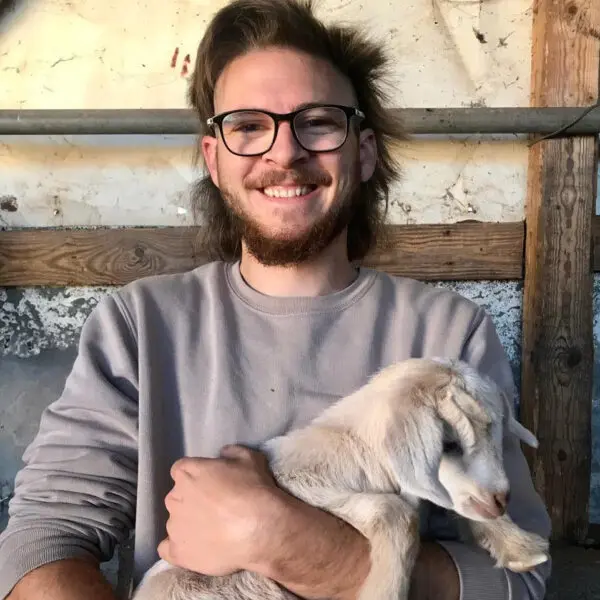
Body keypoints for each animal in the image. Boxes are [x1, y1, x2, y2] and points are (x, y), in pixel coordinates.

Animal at [134, 358, 552, 596]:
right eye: (448, 444)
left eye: (498, 433)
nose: (501, 499)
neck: (357, 451)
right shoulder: (306, 487)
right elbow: (396, 513)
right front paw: (383, 591)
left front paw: (519, 546)